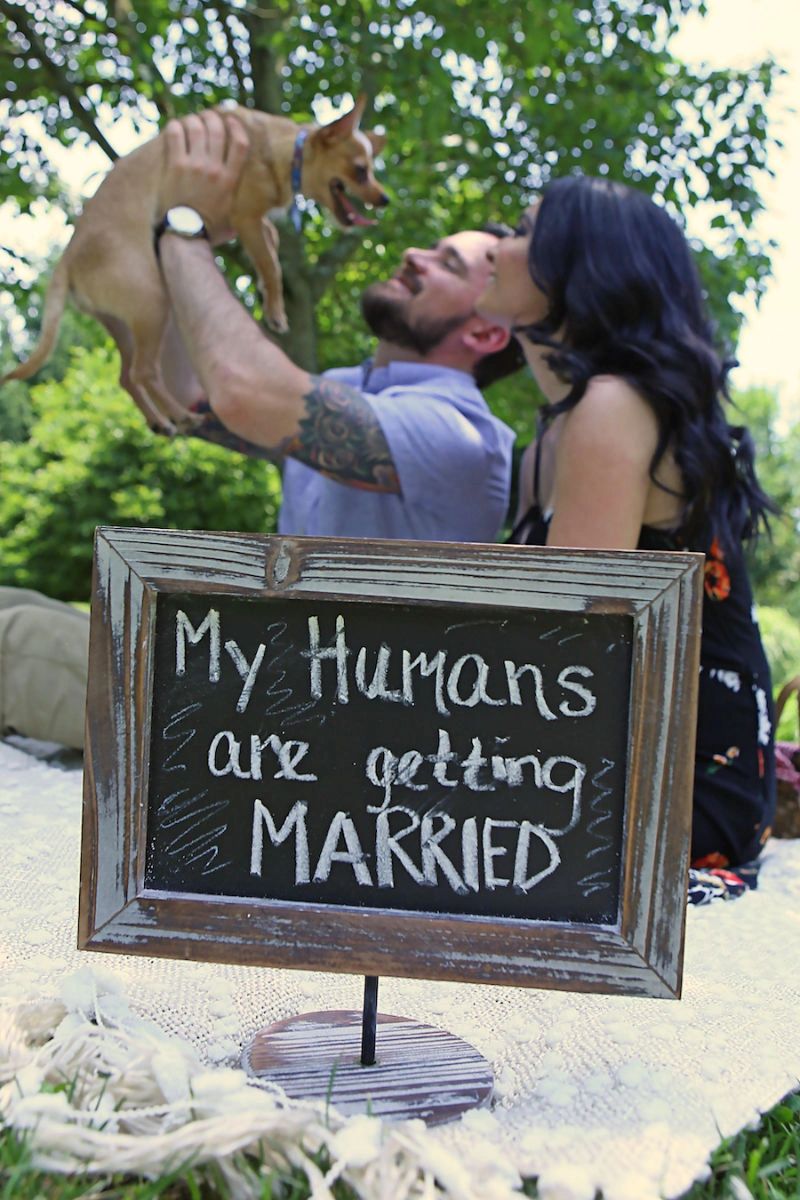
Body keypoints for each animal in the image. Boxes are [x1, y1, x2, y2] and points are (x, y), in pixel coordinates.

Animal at [2, 98, 391, 434]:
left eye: (371, 170)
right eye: (361, 171)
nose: (385, 198)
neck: (280, 148)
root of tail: (68, 258)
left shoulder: (252, 222)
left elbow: (270, 241)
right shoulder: (246, 218)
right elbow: (271, 265)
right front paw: (276, 310)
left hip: (125, 323)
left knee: (127, 376)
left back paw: (161, 420)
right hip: (152, 303)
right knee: (143, 372)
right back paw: (179, 415)